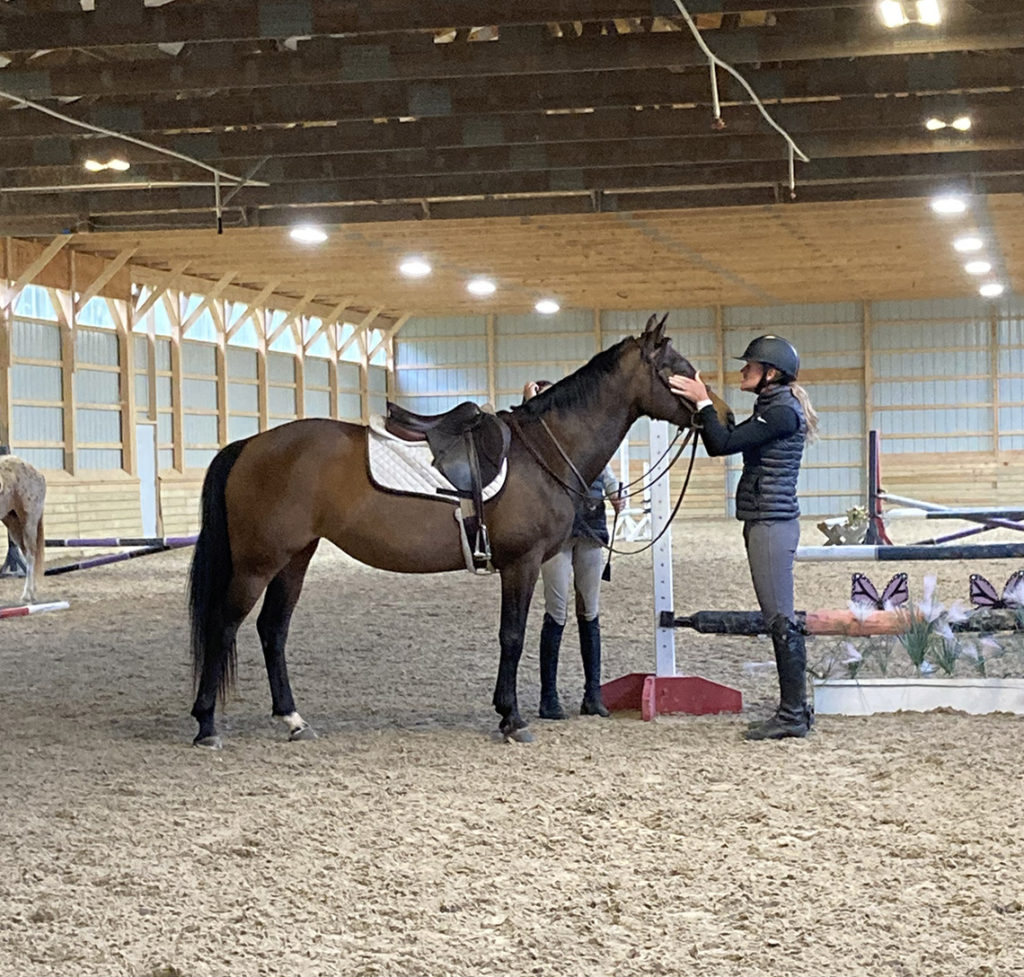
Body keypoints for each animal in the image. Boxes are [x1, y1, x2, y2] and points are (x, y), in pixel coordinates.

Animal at [0, 454, 46, 606]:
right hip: (14, 525)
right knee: (28, 554)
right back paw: (32, 592)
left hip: (29, 522)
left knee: (31, 554)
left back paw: (27, 595)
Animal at [188, 313, 733, 745]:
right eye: (679, 369)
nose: (723, 415)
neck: (543, 451)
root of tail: (250, 444)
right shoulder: (521, 563)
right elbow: (512, 635)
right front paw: (513, 719)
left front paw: (508, 711)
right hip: (258, 562)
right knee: (224, 626)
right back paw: (207, 724)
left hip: (295, 558)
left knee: (272, 630)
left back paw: (293, 719)